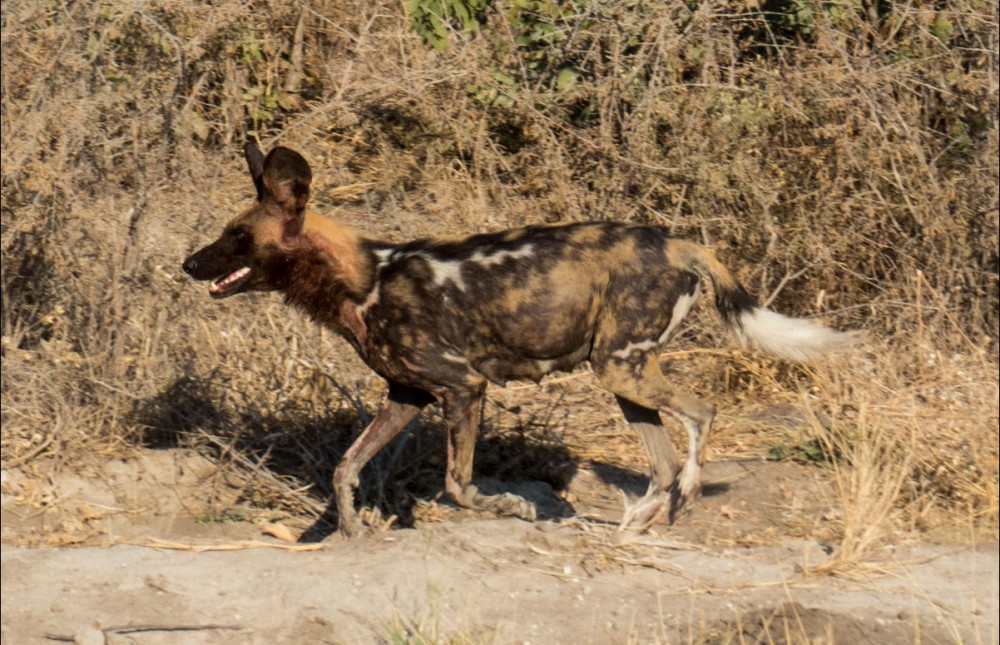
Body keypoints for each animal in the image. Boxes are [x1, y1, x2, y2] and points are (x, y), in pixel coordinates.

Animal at [184, 143, 856, 536]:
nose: (189, 263)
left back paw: (682, 500)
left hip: (622, 369)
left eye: (238, 236)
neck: (361, 279)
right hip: (623, 377)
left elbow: (458, 486)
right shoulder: (407, 395)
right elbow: (346, 467)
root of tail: (680, 242)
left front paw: (511, 507)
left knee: (702, 414)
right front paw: (348, 529)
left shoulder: (462, 388)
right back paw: (639, 521)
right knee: (660, 462)